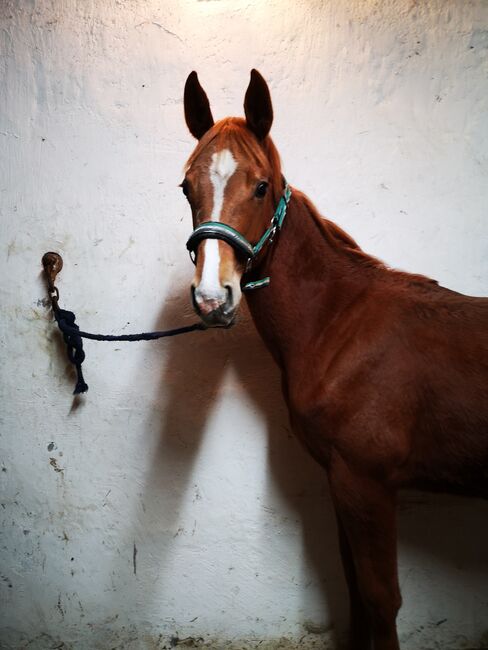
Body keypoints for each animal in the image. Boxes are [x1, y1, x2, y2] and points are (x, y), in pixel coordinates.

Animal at [180, 68, 488, 644]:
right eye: (187, 186)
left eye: (261, 186)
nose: (212, 298)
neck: (340, 323)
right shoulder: (341, 481)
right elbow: (353, 591)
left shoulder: (367, 484)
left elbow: (380, 599)